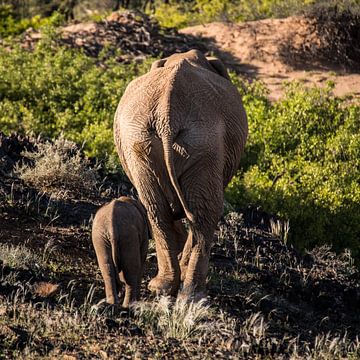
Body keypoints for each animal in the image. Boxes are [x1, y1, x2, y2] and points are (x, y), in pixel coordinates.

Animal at [113, 49, 248, 300]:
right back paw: (191, 294)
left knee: (159, 208)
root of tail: (167, 115)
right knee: (201, 212)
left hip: (148, 143)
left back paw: (167, 289)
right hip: (199, 145)